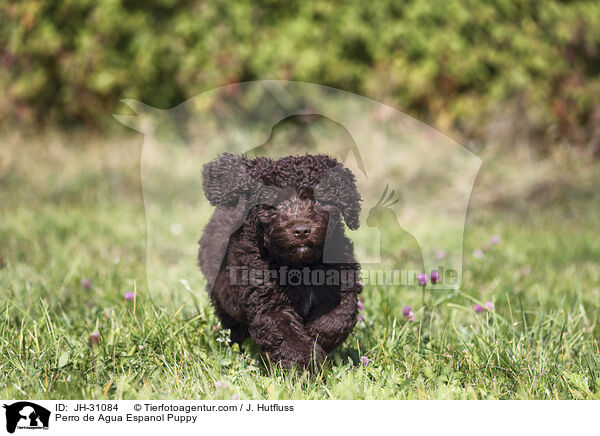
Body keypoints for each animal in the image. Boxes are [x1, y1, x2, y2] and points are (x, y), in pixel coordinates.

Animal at [199, 153, 364, 368]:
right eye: (277, 204)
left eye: (317, 201)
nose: (301, 230)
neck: (301, 267)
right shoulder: (268, 303)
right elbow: (287, 336)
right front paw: (306, 366)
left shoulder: (341, 285)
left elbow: (338, 318)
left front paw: (315, 337)